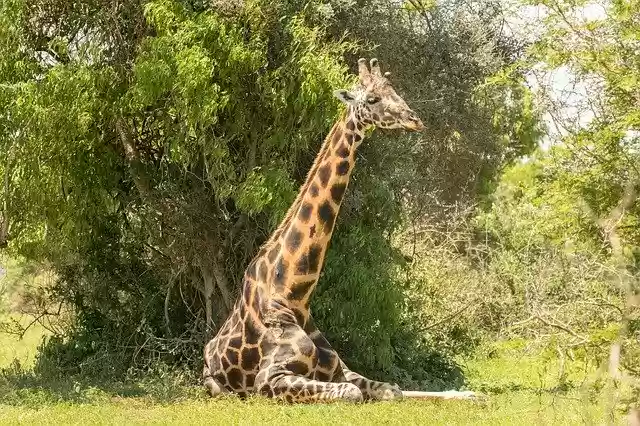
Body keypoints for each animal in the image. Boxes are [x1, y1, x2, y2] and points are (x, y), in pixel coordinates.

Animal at [202, 57, 478, 402]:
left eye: (395, 91)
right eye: (372, 99)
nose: (414, 119)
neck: (294, 293)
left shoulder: (338, 368)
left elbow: (392, 389)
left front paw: (468, 393)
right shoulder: (269, 378)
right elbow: (351, 392)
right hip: (217, 386)